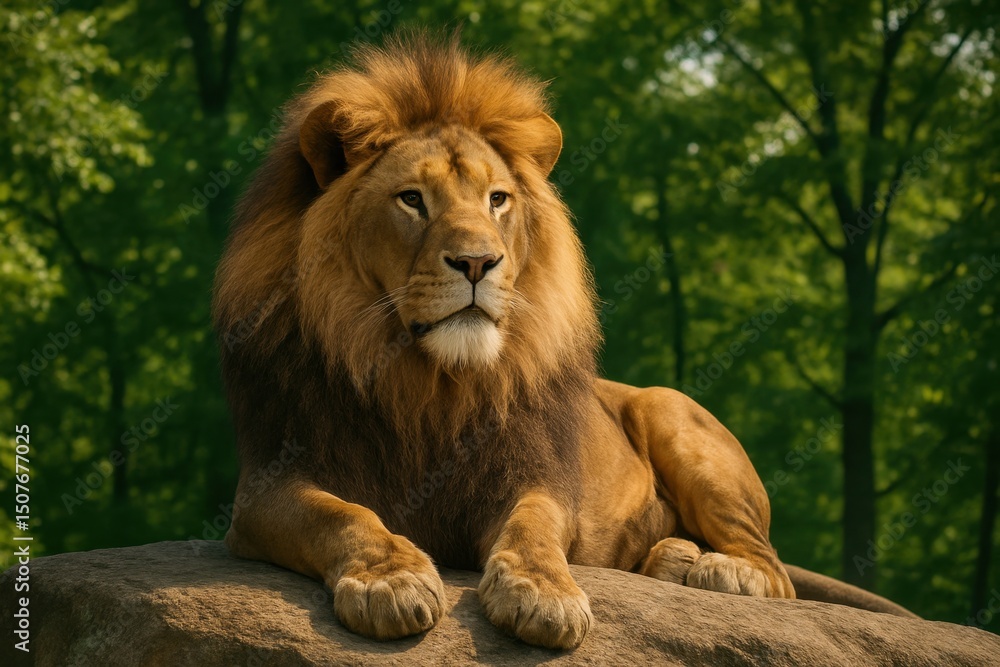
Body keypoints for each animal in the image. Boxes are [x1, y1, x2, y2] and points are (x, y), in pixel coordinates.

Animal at [213, 32, 906, 650]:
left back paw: (715, 570)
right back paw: (673, 560)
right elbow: (340, 514)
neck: (430, 382)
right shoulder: (267, 485)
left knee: (775, 569)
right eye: (411, 199)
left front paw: (543, 594)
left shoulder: (530, 475)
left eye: (497, 199)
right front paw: (392, 579)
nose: (478, 262)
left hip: (672, 413)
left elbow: (534, 528)